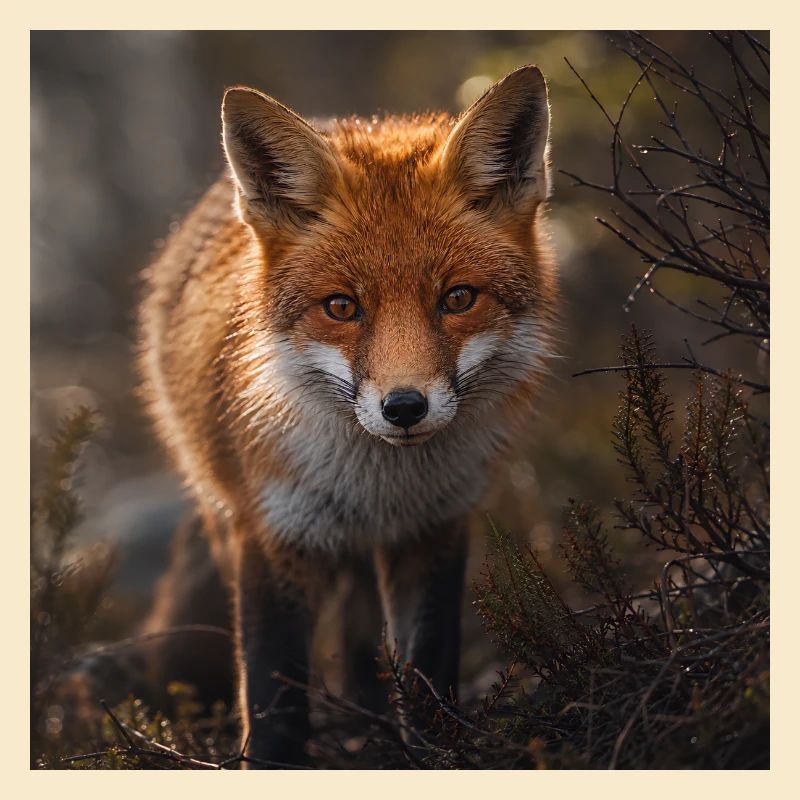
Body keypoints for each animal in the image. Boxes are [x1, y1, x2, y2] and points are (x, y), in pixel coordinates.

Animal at [137, 64, 558, 767]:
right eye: (341, 307)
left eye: (458, 298)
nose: (404, 406)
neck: (378, 486)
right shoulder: (273, 534)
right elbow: (275, 698)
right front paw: (271, 759)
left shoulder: (434, 528)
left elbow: (428, 671)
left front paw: (434, 752)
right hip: (226, 518)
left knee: (363, 645)